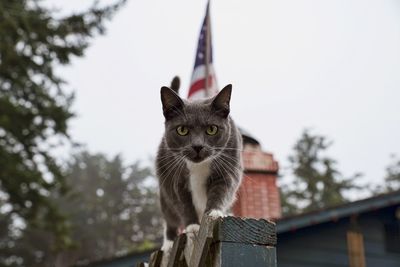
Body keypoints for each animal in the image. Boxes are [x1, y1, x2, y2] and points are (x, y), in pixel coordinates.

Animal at [156, 82, 244, 252]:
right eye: (182, 130)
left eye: (212, 129)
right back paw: (169, 243)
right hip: (164, 188)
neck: (198, 167)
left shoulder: (228, 168)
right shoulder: (176, 177)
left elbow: (221, 190)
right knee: (169, 217)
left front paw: (214, 213)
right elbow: (183, 202)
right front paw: (193, 227)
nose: (197, 146)